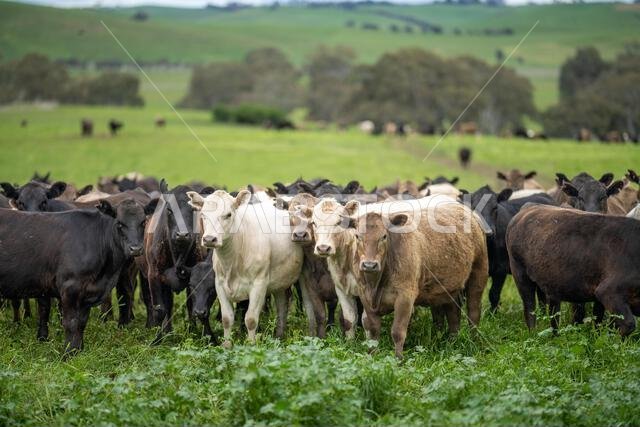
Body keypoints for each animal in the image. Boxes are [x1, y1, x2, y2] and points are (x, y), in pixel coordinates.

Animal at [0, 198, 158, 354]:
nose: (135, 249)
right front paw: (68, 353)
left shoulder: (86, 294)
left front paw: (79, 350)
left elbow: (81, 322)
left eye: (143, 222)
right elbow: (71, 322)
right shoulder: (70, 287)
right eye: (119, 223)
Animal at [187, 190, 303, 347]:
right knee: (282, 304)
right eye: (203, 215)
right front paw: (226, 346)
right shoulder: (219, 284)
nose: (209, 239)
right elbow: (227, 318)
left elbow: (251, 319)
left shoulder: (259, 284)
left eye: (228, 214)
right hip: (281, 281)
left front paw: (251, 345)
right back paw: (278, 336)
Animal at [353, 204, 488, 359]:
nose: (369, 265)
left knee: (473, 312)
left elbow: (398, 332)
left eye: (384, 236)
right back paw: (452, 343)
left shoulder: (405, 297)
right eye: (357, 236)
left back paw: (474, 342)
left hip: (478, 274)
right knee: (453, 314)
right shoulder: (365, 298)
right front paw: (372, 356)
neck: (376, 284)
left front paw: (398, 359)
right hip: (450, 288)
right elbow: (373, 331)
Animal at [507, 205, 640, 336]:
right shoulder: (609, 291)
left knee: (554, 311)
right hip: (520, 273)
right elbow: (628, 324)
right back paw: (533, 335)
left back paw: (555, 336)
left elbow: (602, 322)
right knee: (530, 308)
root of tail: (529, 207)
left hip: (551, 280)